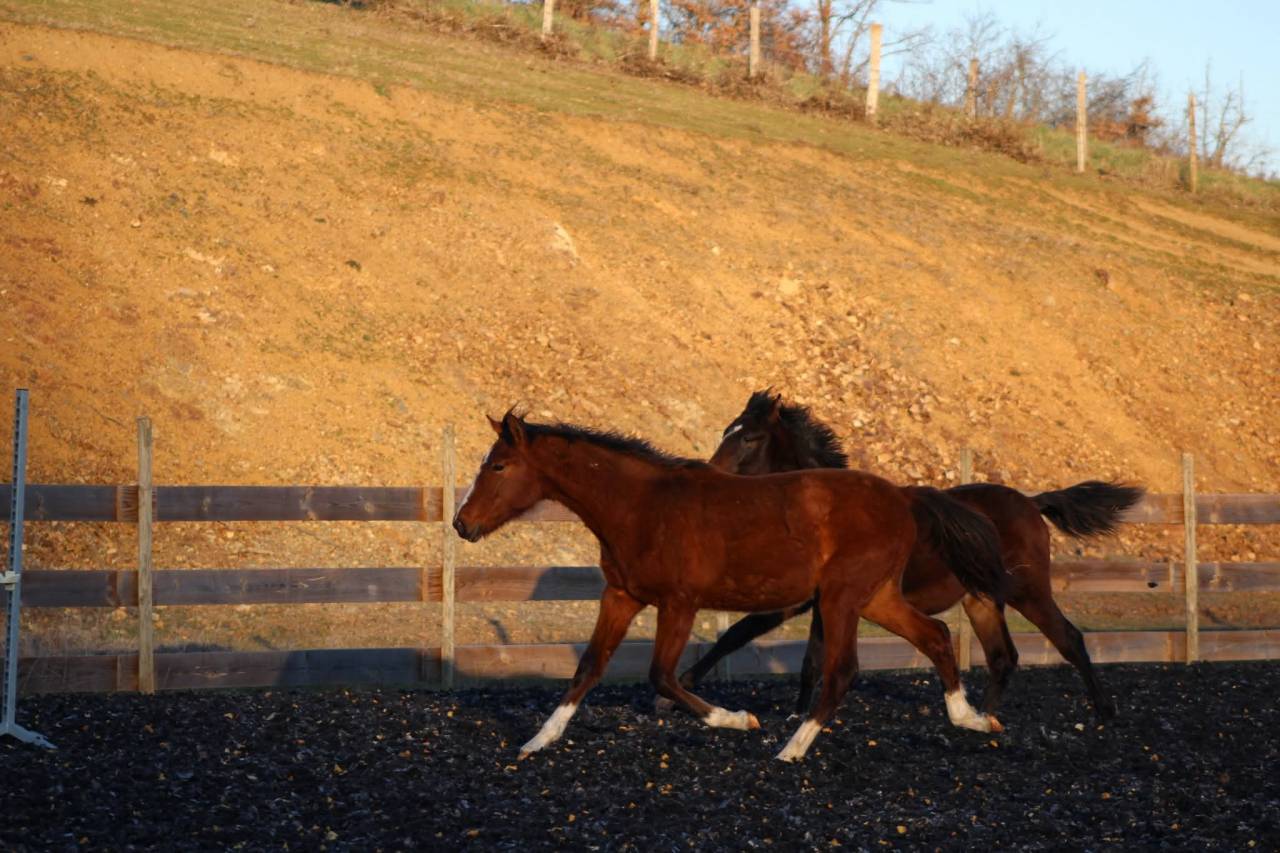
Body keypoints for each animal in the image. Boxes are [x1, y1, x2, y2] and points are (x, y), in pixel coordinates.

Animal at [452, 411, 1010, 762]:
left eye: (498, 465)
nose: (462, 524)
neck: (641, 506)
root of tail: (903, 497)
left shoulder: (678, 603)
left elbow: (662, 676)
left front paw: (740, 719)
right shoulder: (622, 596)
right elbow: (588, 667)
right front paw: (537, 741)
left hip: (842, 598)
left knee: (843, 671)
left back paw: (791, 749)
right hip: (875, 598)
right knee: (936, 636)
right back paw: (973, 719)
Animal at [676, 390, 1144, 719]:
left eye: (749, 437)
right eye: (726, 430)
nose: (709, 474)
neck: (821, 508)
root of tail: (1031, 502)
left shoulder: (798, 601)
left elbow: (745, 636)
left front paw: (683, 684)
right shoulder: (819, 602)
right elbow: (802, 657)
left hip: (1028, 591)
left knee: (1069, 639)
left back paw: (1105, 713)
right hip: (981, 600)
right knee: (1003, 658)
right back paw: (985, 718)